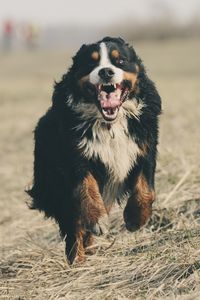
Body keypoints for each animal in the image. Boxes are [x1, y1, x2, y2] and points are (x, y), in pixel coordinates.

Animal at [26, 36, 162, 264]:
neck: (110, 124)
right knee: (74, 225)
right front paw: (98, 220)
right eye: (91, 63)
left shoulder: (144, 147)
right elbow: (86, 189)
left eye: (120, 61)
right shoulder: (75, 158)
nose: (106, 72)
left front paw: (135, 218)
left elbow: (146, 189)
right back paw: (78, 259)